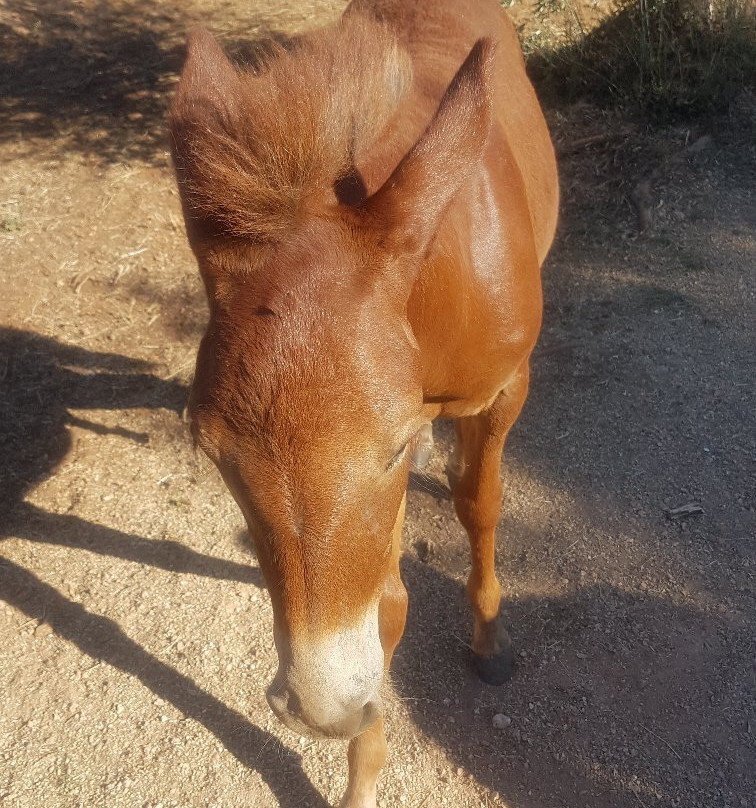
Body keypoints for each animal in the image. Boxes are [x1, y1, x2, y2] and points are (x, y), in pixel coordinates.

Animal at [168, 0, 558, 805]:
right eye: (210, 452)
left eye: (395, 446)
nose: (318, 709)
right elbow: (387, 609)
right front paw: (361, 773)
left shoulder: (504, 390)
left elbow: (482, 505)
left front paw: (490, 638)